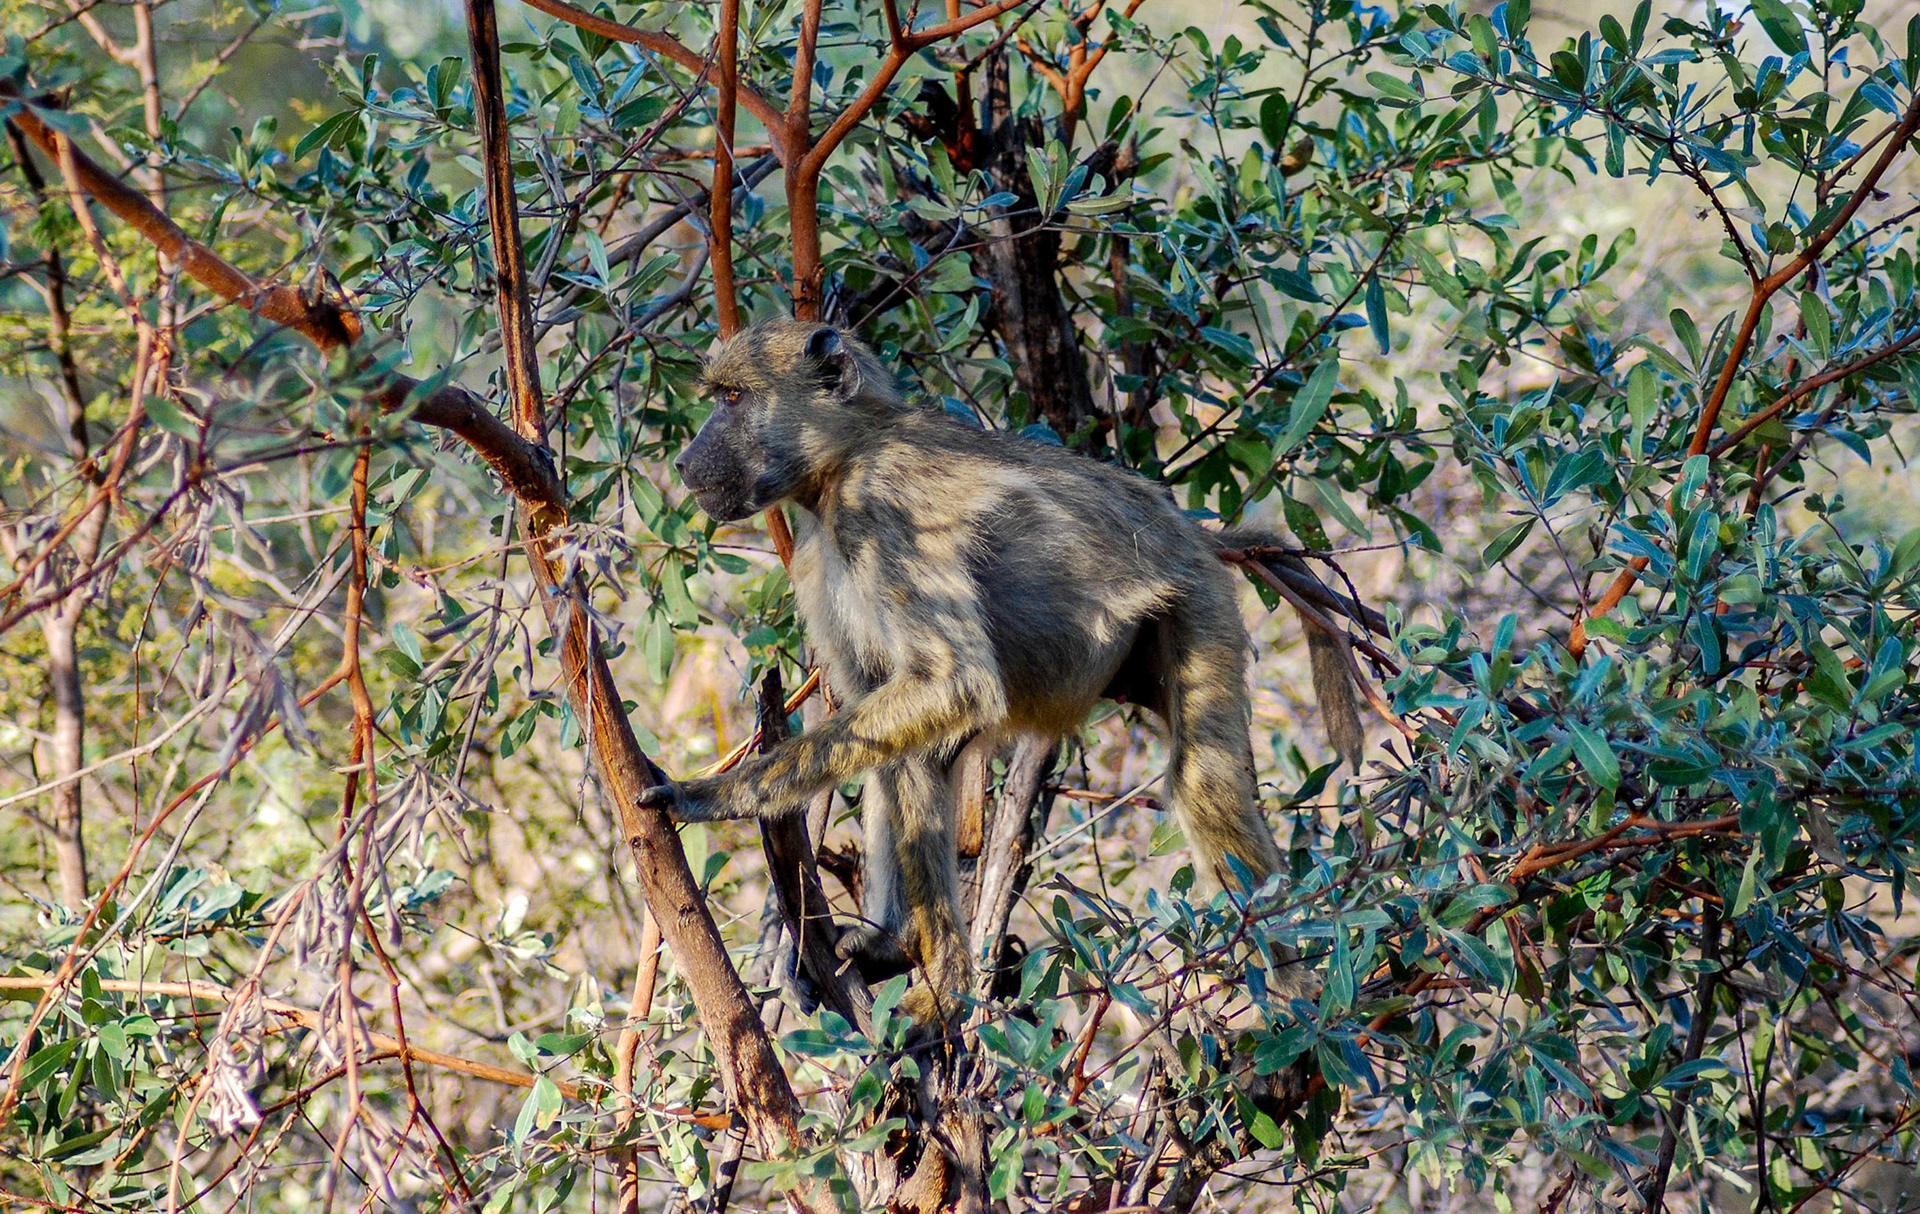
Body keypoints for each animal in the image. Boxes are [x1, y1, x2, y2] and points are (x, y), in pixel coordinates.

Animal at [641, 320, 1368, 1013]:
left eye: (734, 399)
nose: (683, 461)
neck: (847, 458)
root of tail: (1190, 530)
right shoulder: (821, 556)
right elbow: (894, 720)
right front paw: (887, 947)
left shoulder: (883, 507)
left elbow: (952, 685)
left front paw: (709, 796)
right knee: (915, 753)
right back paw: (904, 949)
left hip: (1197, 600)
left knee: (1201, 781)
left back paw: (1294, 994)